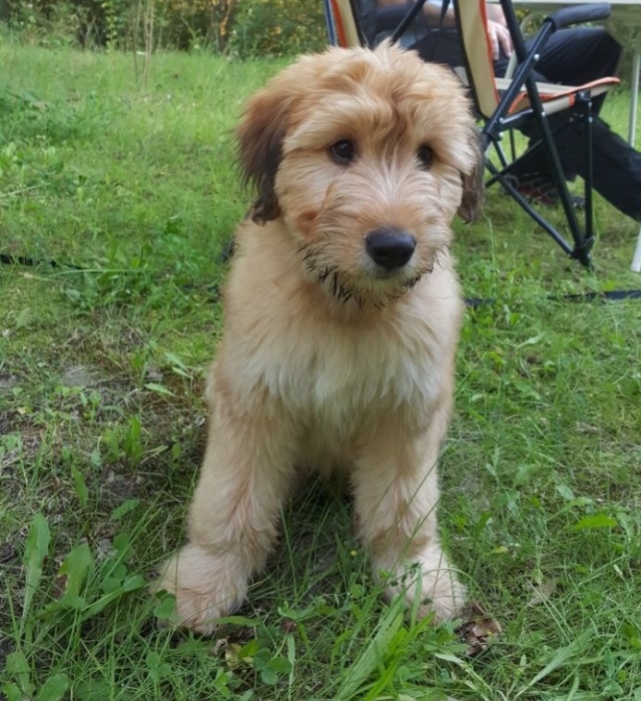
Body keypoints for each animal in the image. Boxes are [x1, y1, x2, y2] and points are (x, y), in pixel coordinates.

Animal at [159, 43, 480, 636]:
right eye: (342, 148)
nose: (393, 246)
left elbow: (404, 508)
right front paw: (206, 581)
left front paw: (416, 577)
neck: (345, 306)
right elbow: (229, 501)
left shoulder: (407, 412)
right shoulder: (254, 399)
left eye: (427, 155)